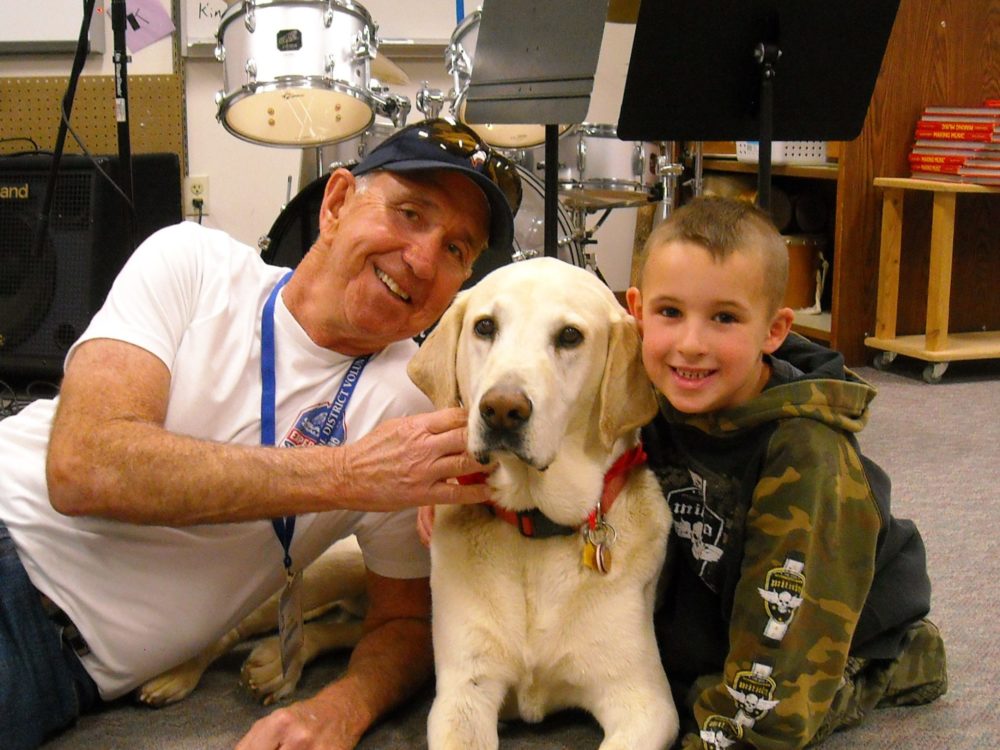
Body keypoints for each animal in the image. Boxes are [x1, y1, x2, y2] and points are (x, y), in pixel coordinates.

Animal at [406, 258, 680, 750]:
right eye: (485, 326)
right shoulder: (462, 693)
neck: (534, 527)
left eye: (570, 336)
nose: (501, 409)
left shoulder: (644, 701)